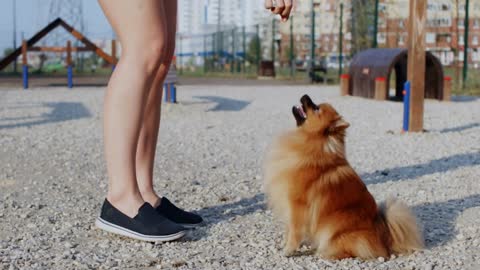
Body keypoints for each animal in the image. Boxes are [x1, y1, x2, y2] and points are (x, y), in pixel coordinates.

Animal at [262, 95, 424, 260]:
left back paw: (326, 253)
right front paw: (285, 243)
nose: (305, 96)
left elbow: (295, 231)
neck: (309, 143)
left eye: (316, 108)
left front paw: (288, 250)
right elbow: (289, 229)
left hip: (336, 227)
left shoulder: (298, 205)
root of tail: (383, 236)